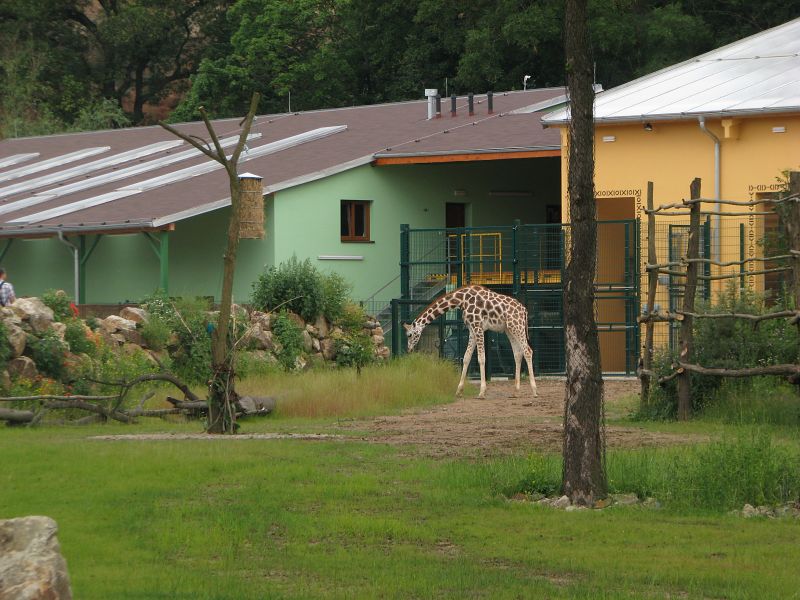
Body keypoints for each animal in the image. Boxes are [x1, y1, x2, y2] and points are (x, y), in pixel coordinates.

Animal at [403, 285, 538, 399]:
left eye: (409, 335)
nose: (409, 349)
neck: (461, 300)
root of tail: (524, 311)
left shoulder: (478, 326)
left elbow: (481, 358)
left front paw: (482, 392)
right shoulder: (471, 329)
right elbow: (466, 357)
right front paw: (459, 391)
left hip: (517, 326)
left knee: (528, 351)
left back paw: (534, 390)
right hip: (509, 329)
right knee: (518, 354)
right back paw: (515, 391)